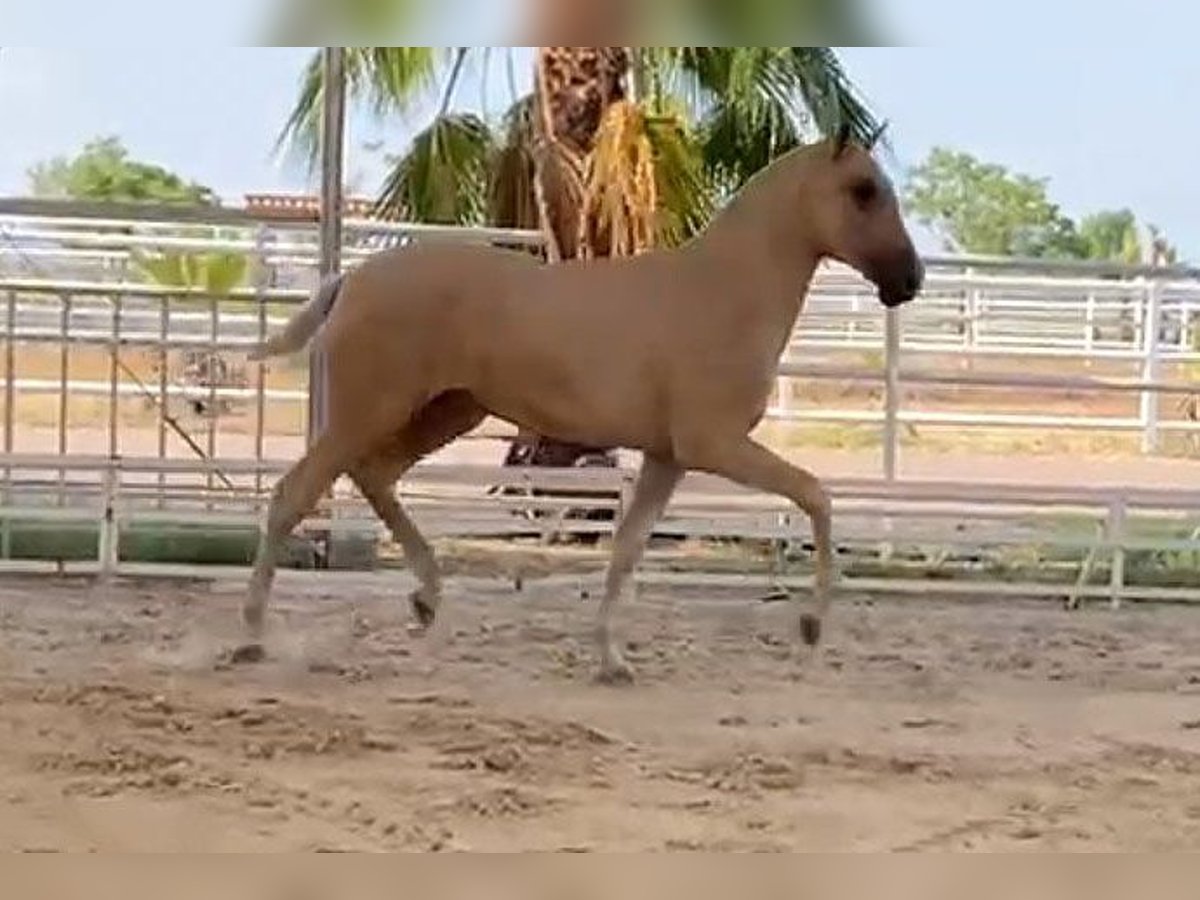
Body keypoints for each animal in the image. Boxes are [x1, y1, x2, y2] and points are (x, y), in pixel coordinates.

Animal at [241, 128, 916, 681]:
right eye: (863, 191)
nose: (909, 281)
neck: (723, 292)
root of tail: (348, 281)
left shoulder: (668, 457)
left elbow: (627, 549)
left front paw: (613, 660)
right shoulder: (714, 444)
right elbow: (816, 497)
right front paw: (811, 627)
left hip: (446, 412)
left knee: (375, 476)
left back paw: (427, 601)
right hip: (370, 412)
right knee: (294, 495)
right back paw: (253, 637)